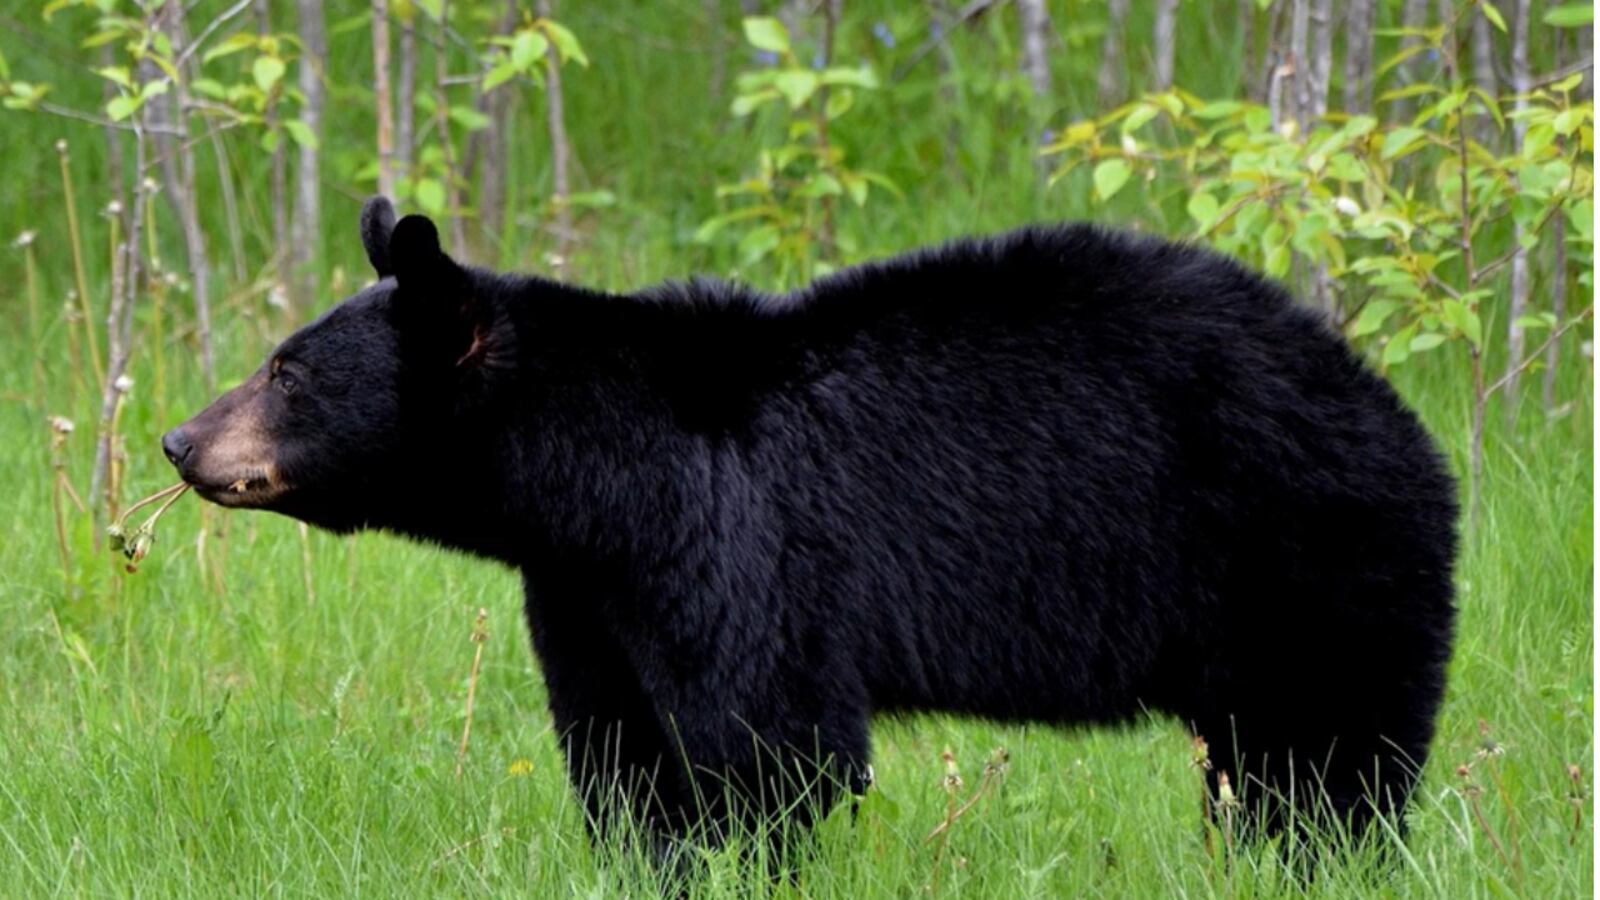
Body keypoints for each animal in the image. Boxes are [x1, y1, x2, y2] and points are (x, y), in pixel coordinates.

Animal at [162, 197, 1457, 856]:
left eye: (286, 371)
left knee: (1324, 755)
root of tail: (1396, 414)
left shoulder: (738, 543)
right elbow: (621, 745)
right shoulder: (584, 586)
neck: (595, 480)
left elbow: (766, 743)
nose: (179, 441)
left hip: (1306, 554)